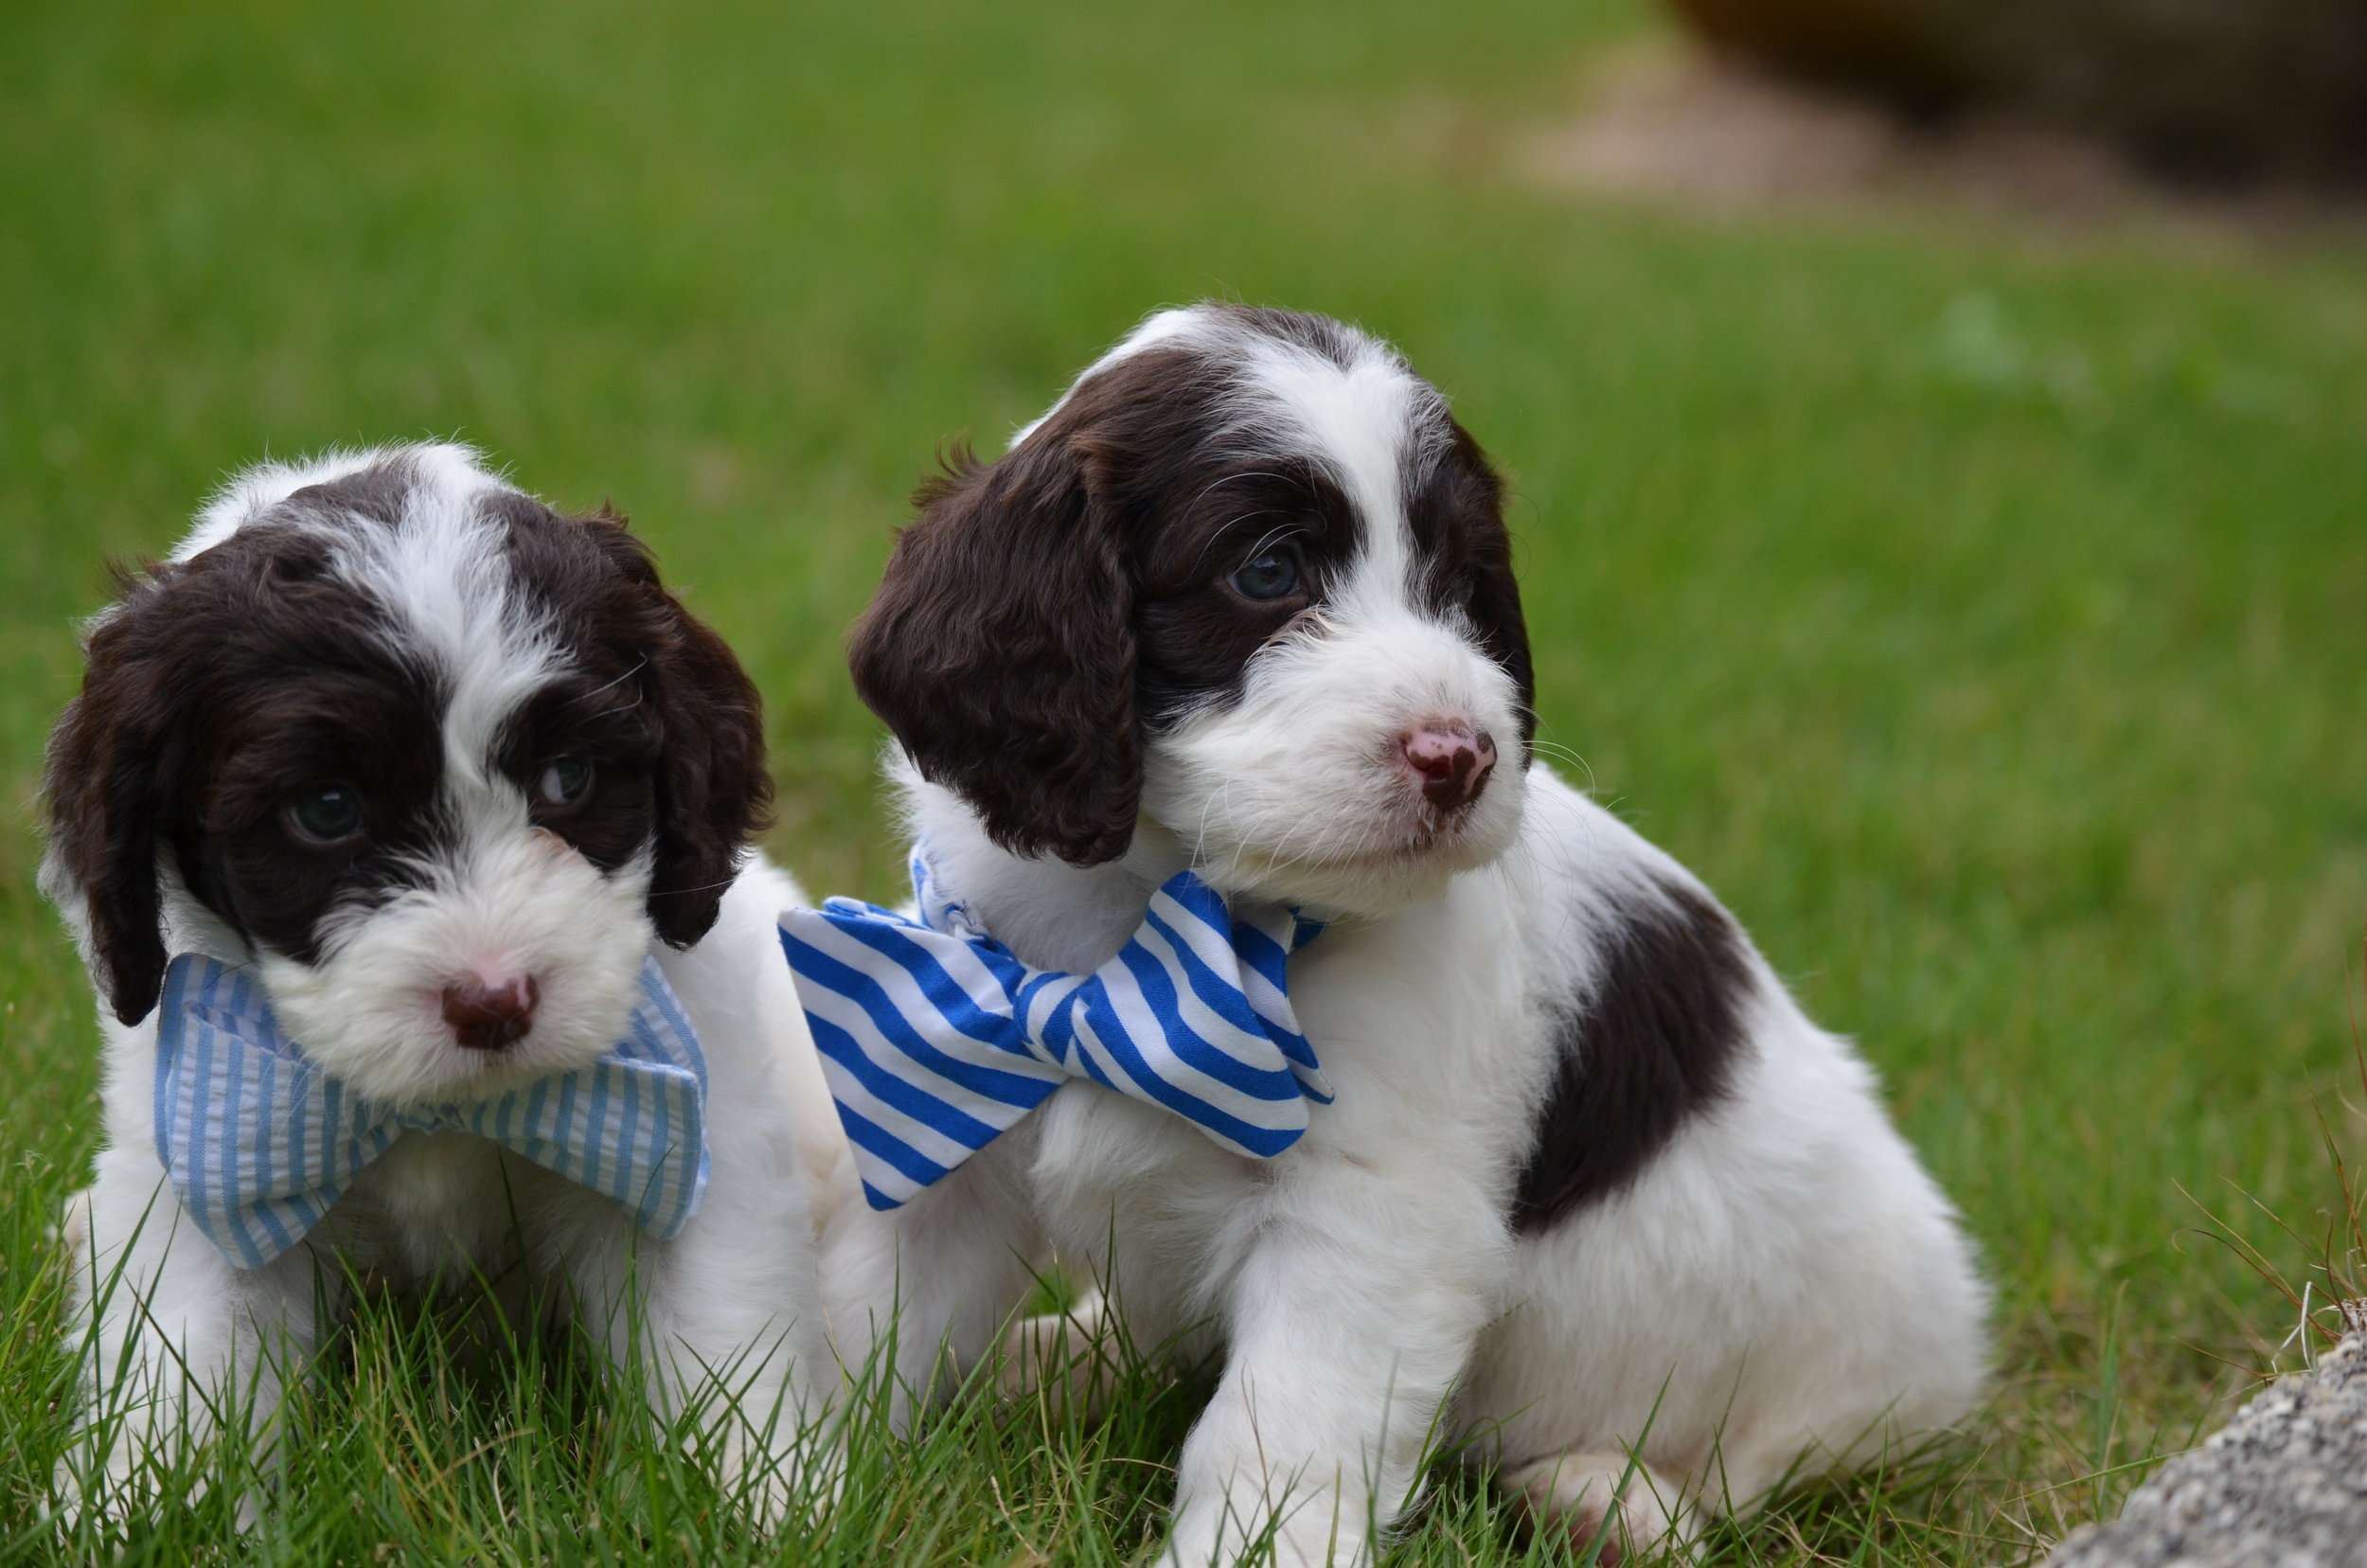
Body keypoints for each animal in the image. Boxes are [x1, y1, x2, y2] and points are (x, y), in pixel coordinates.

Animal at [44, 442, 843, 1524]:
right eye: (325, 809)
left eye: (569, 781)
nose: (492, 1002)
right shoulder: (204, 1167)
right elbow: (185, 1372)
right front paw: (142, 1516)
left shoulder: (693, 1144)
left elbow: (721, 1340)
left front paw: (762, 1508)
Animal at [814, 310, 1998, 1568]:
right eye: (1266, 569)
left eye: (1462, 586)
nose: (1461, 757)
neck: (1142, 935)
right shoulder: (942, 1114)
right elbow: (864, 1319)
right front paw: (792, 1486)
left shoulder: (1367, 1213)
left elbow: (1278, 1427)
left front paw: (1246, 1550)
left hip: (1856, 1355)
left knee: (1768, 1463)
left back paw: (1608, 1495)